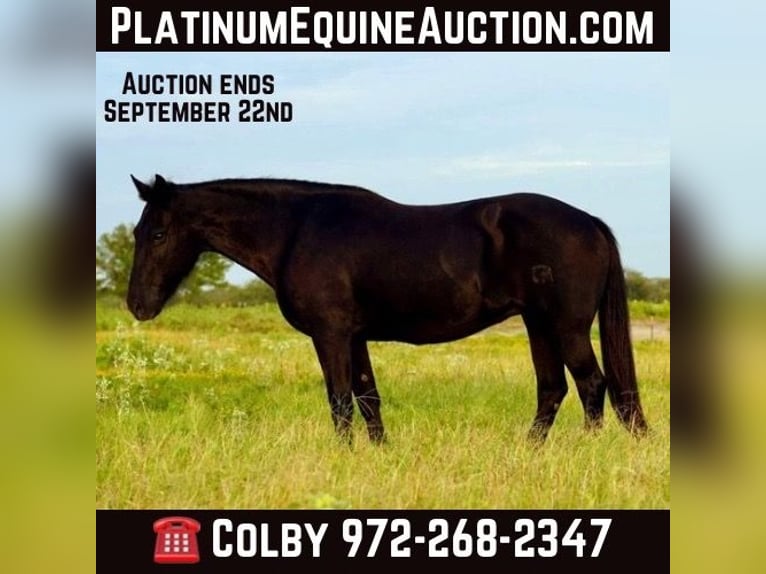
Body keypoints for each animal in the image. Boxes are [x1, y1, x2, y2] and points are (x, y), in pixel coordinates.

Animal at [126, 174, 647, 444]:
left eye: (159, 233)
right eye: (137, 232)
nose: (137, 305)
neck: (296, 230)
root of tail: (589, 222)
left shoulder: (331, 335)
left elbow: (339, 400)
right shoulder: (354, 336)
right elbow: (367, 398)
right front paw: (378, 453)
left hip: (567, 326)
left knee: (591, 384)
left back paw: (585, 449)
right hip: (538, 323)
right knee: (553, 388)